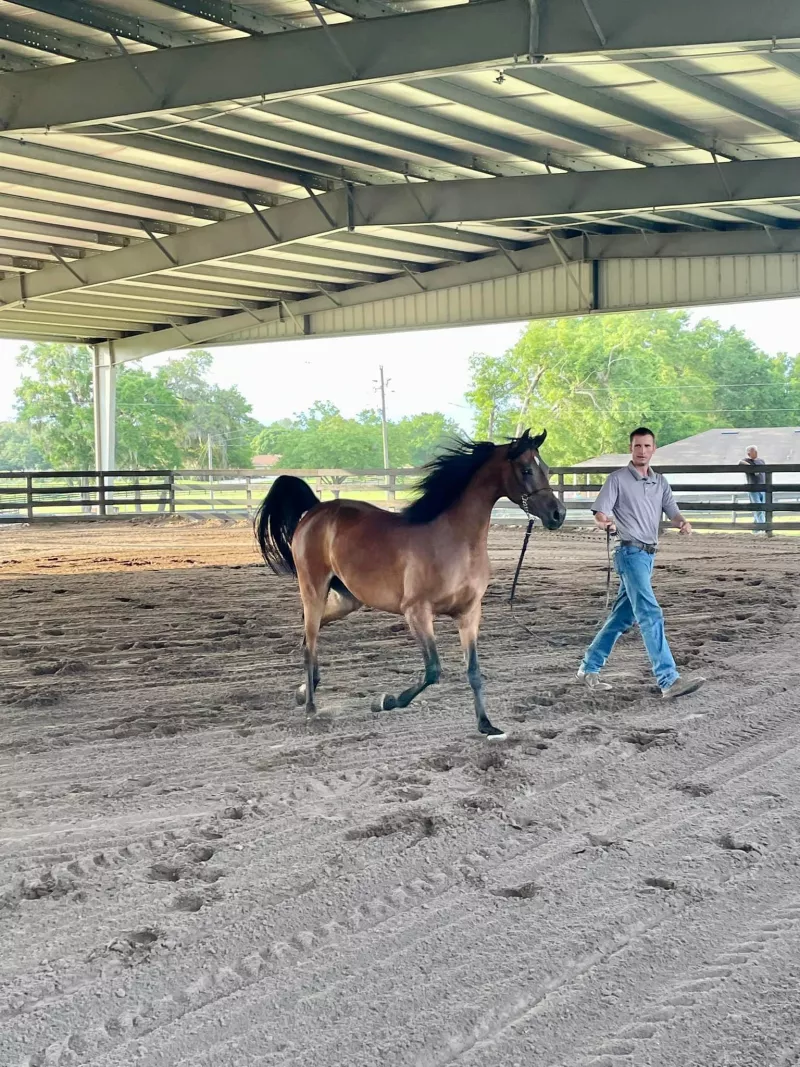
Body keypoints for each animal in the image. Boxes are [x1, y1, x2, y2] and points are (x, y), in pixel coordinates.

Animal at [254, 428, 563, 738]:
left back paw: (304, 690)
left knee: (311, 631)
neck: (454, 541)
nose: (558, 514)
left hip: (348, 599)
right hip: (314, 588)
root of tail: (316, 510)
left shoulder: (469, 613)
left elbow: (474, 671)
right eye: (526, 470)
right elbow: (433, 669)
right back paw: (311, 708)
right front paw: (386, 701)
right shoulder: (417, 612)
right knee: (310, 642)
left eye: (547, 469)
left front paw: (486, 724)